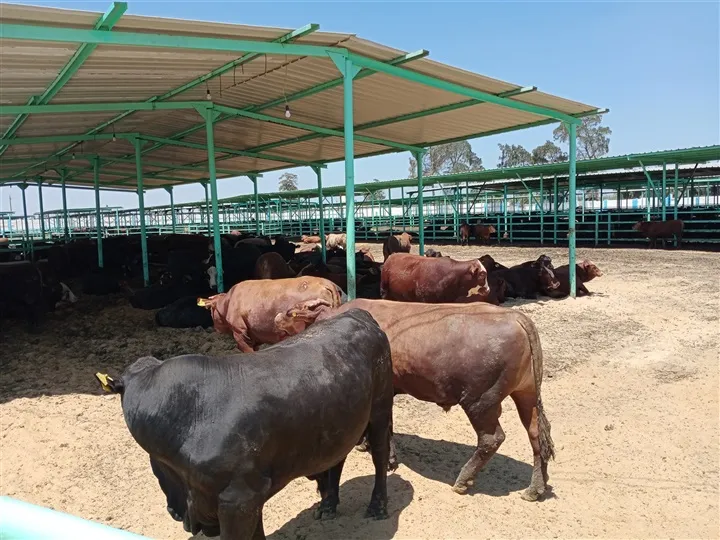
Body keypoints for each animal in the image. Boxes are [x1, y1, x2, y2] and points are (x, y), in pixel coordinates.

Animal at [95, 308, 394, 539]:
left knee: (380, 456)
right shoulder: (249, 497)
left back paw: (378, 507)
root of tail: (357, 313)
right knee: (337, 458)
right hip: (341, 422)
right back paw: (329, 505)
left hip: (381, 409)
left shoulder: (240, 498)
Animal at [274, 299, 555, 502]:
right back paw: (536, 488)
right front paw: (367, 444)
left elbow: (386, 426)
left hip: (480, 401)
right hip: (526, 394)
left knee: (491, 439)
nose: (276, 318)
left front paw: (387, 458)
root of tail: (516, 317)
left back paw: (463, 480)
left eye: (291, 312)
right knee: (537, 435)